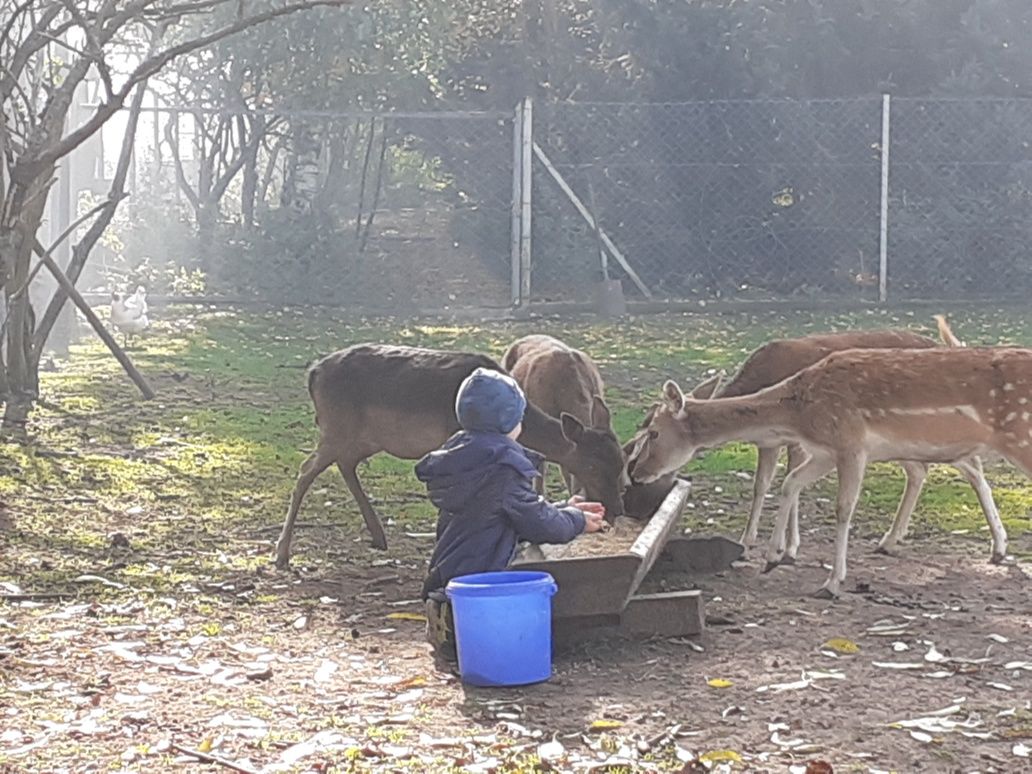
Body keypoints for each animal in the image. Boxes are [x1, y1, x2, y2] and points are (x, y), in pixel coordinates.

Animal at [274, 344, 623, 569]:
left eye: (620, 462)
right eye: (592, 466)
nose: (617, 509)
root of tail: (312, 373)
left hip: (363, 437)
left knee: (344, 465)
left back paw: (378, 535)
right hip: (336, 426)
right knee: (306, 469)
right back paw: (282, 554)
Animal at [623, 346, 1019, 598]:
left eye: (652, 432)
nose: (637, 473)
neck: (797, 412)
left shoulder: (851, 447)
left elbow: (841, 509)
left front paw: (831, 581)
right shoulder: (824, 452)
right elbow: (789, 483)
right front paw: (774, 555)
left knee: (969, 470)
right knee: (936, 471)